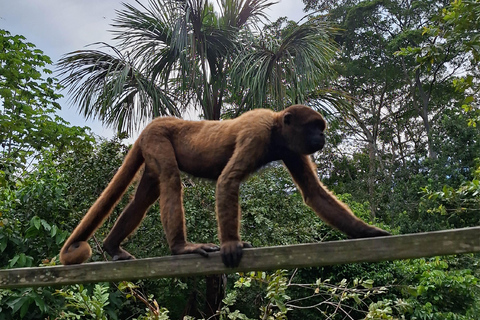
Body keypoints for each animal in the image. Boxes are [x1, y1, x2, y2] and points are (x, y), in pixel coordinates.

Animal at [60, 104, 390, 268]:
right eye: (314, 127)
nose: (322, 137)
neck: (275, 128)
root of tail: (150, 126)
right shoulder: (256, 134)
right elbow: (227, 180)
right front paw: (232, 243)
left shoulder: (291, 149)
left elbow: (313, 193)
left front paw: (368, 231)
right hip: (158, 140)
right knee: (170, 182)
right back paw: (181, 248)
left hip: (151, 151)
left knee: (145, 196)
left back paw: (113, 247)